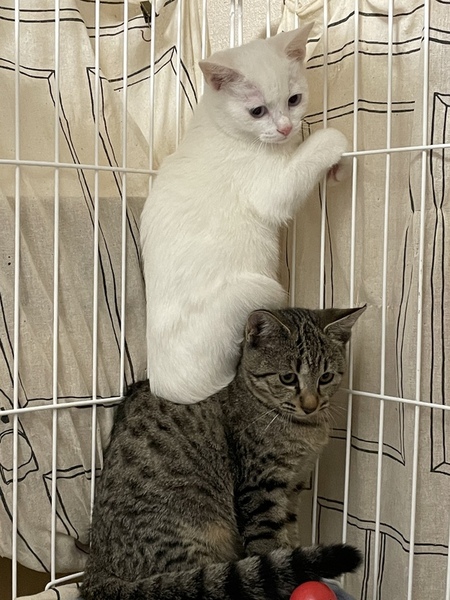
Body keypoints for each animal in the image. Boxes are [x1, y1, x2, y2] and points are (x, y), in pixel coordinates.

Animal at [81, 305, 365, 600]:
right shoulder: (261, 486)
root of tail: (95, 566)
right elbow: (268, 540)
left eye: (326, 377)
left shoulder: (293, 488)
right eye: (288, 378)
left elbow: (289, 533)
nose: (311, 405)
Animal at [140, 25, 350, 403]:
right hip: (262, 288)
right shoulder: (269, 188)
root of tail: (167, 391)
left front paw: (336, 170)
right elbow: (302, 163)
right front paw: (332, 139)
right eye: (257, 111)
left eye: (294, 100)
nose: (285, 128)